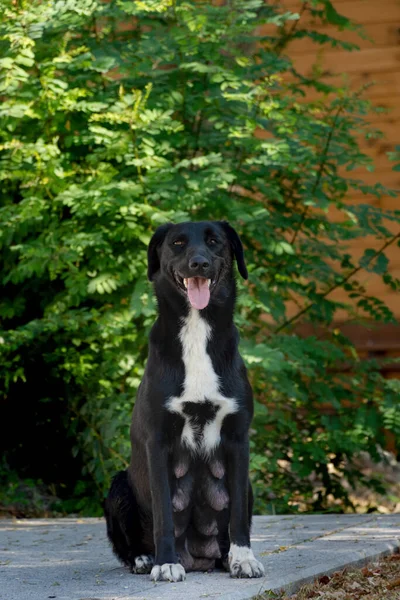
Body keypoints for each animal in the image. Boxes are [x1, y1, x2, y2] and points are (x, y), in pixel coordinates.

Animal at [104, 220, 264, 580]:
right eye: (177, 243)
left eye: (214, 241)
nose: (199, 264)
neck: (196, 329)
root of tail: (198, 557)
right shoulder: (158, 441)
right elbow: (163, 513)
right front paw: (165, 562)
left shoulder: (238, 439)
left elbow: (238, 518)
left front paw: (243, 558)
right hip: (118, 486)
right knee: (129, 544)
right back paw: (145, 558)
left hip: (248, 486)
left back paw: (224, 557)